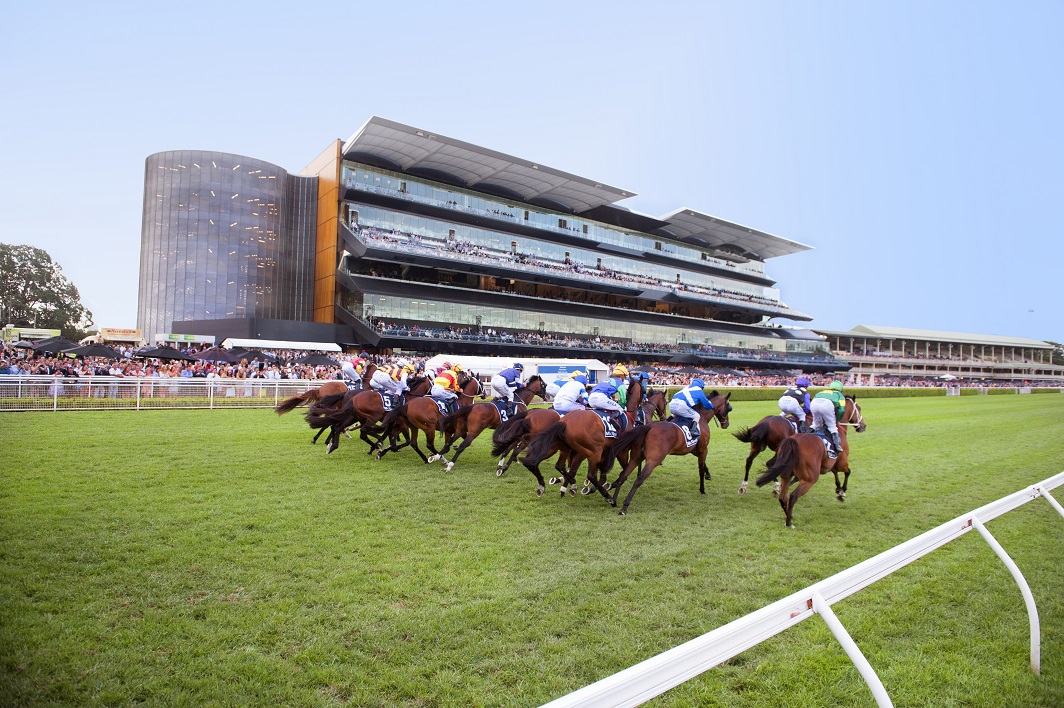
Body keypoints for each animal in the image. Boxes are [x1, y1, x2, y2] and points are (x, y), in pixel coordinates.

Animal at [519, 374, 651, 496]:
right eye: (644, 390)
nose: (644, 402)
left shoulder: (595, 451)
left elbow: (580, 469)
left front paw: (567, 485)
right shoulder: (620, 451)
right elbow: (623, 470)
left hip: (556, 447)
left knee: (536, 462)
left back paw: (543, 484)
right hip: (592, 450)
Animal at [600, 391, 732, 513]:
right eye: (729, 408)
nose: (726, 424)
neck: (702, 418)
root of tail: (649, 427)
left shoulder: (693, 449)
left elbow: (703, 465)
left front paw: (708, 475)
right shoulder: (703, 449)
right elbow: (700, 469)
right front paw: (702, 489)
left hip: (636, 457)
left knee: (623, 475)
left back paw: (613, 500)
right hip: (653, 460)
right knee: (639, 479)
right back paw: (624, 507)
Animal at [757, 393, 863, 528]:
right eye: (859, 408)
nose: (863, 426)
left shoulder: (829, 464)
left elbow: (835, 473)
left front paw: (838, 488)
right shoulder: (842, 462)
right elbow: (848, 472)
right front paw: (842, 492)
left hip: (786, 473)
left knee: (783, 496)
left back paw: (787, 514)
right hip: (810, 478)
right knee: (793, 496)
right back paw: (789, 522)